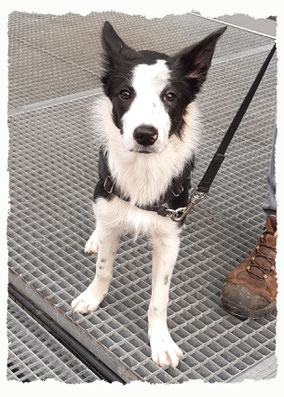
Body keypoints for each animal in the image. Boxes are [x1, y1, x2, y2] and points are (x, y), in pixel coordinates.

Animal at [71, 21, 226, 368]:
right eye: (125, 93)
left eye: (170, 96)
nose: (145, 135)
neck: (143, 169)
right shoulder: (109, 202)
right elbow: (103, 267)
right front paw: (92, 297)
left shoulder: (169, 237)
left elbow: (160, 298)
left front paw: (161, 341)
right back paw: (96, 235)